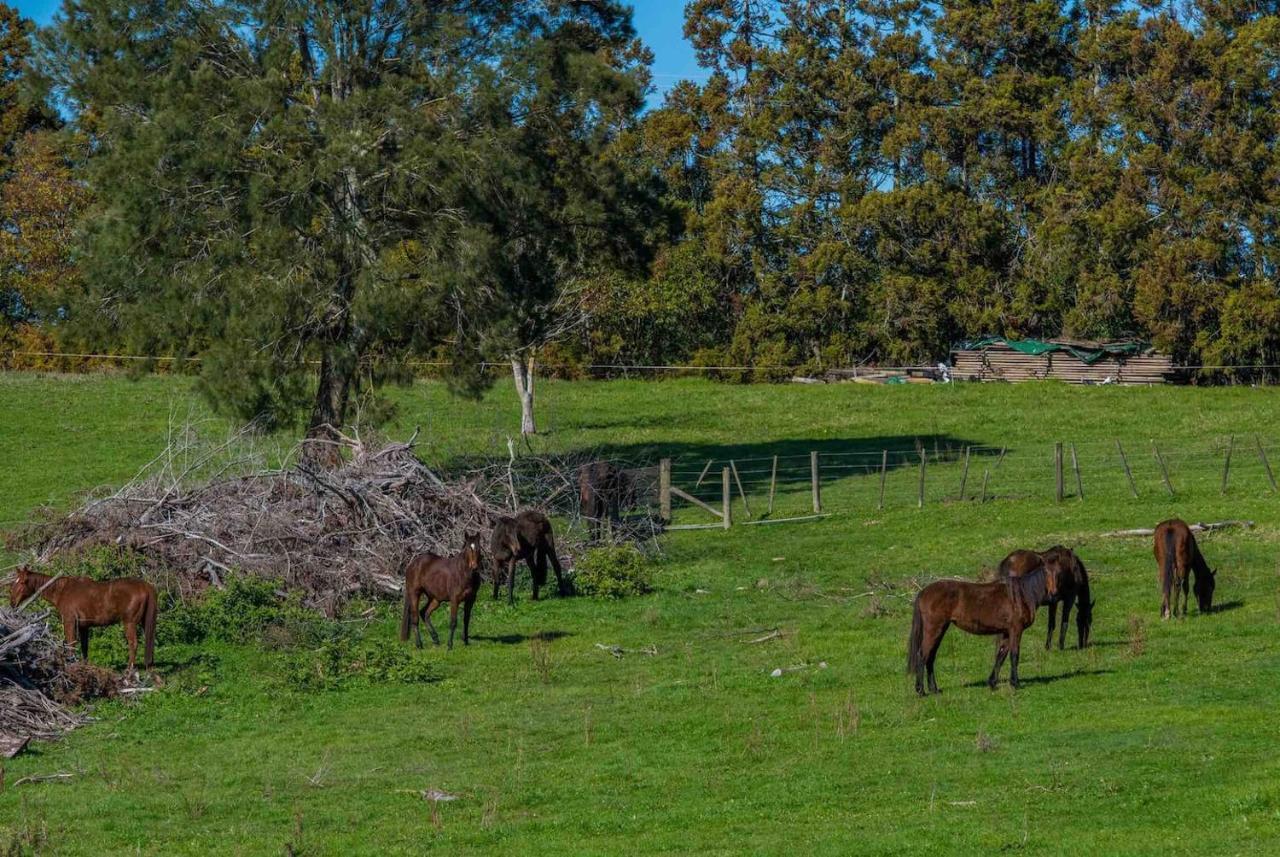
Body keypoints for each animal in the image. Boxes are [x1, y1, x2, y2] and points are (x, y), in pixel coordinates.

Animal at [8, 567, 156, 680]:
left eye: (23, 582)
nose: (12, 602)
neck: (62, 590)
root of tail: (145, 586)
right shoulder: (84, 627)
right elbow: (85, 648)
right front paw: (85, 668)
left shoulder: (69, 622)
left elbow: (71, 645)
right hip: (144, 623)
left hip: (129, 623)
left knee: (133, 644)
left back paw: (128, 671)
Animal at [906, 562, 1054, 695]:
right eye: (1047, 574)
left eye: (1056, 573)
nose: (1053, 595)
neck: (1020, 595)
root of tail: (923, 592)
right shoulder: (1016, 630)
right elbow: (1014, 655)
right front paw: (1015, 683)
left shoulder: (1007, 632)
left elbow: (1001, 656)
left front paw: (992, 683)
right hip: (934, 629)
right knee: (922, 656)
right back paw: (920, 690)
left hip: (940, 629)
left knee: (930, 657)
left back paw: (934, 689)